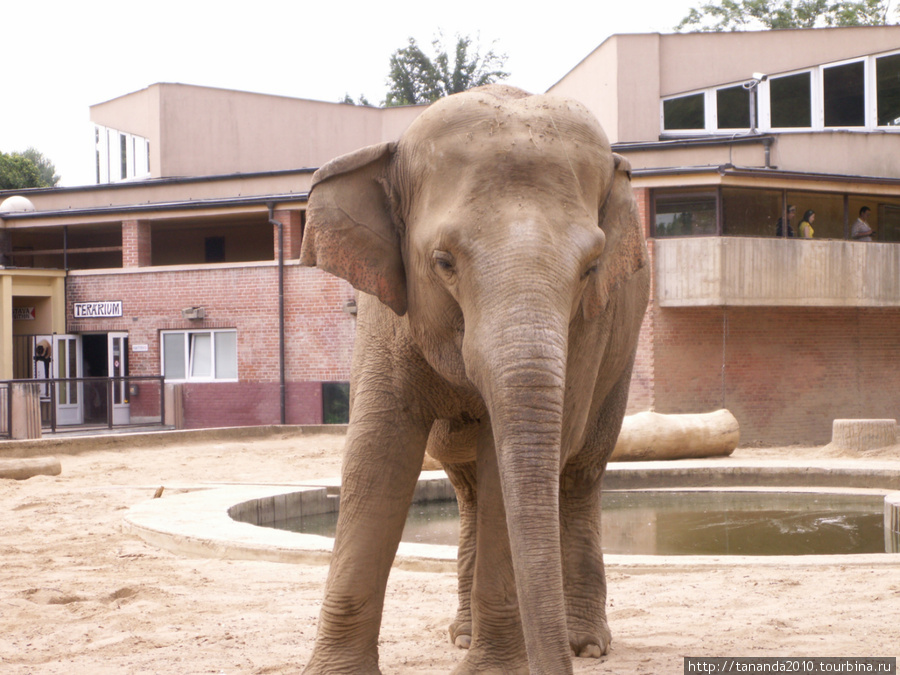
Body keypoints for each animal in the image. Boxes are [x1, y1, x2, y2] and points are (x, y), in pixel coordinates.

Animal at [298, 82, 652, 672]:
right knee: (467, 486)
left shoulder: (587, 330)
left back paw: (584, 643)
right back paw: (463, 634)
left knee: (580, 471)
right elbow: (377, 454)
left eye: (589, 268)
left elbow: (506, 457)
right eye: (443, 261)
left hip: (620, 353)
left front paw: (493, 669)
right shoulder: (383, 314)